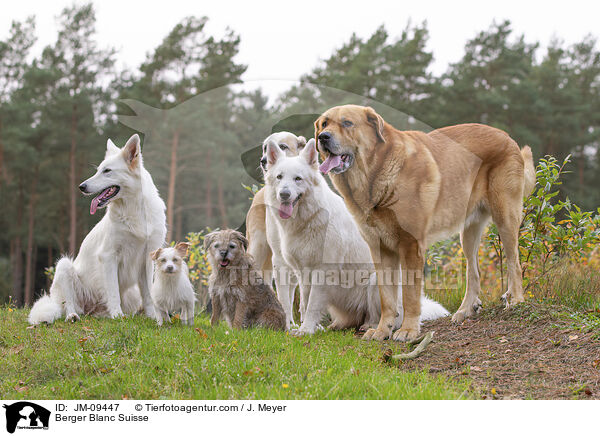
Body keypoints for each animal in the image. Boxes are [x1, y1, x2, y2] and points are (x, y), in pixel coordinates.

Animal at [28, 135, 166, 326]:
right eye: (99, 170)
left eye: (107, 171)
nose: (81, 186)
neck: (134, 209)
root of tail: (91, 309)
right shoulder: (108, 256)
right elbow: (113, 292)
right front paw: (117, 316)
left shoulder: (147, 258)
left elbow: (148, 295)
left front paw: (153, 318)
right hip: (64, 266)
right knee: (69, 305)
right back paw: (73, 316)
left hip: (131, 293)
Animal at [264, 138, 448, 336]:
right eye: (279, 177)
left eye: (298, 179)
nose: (284, 195)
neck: (309, 219)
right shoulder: (303, 273)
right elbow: (305, 303)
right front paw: (311, 327)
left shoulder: (322, 272)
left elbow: (312, 304)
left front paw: (306, 330)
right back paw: (337, 325)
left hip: (376, 281)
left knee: (380, 315)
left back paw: (371, 327)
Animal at [314, 104, 536, 340]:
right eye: (324, 123)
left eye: (347, 123)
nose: (323, 137)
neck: (375, 172)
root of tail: (507, 137)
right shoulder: (381, 250)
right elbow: (387, 298)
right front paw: (382, 331)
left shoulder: (410, 246)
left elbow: (410, 296)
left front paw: (408, 330)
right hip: (468, 234)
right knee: (473, 271)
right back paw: (465, 310)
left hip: (505, 218)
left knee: (514, 262)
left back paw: (516, 300)